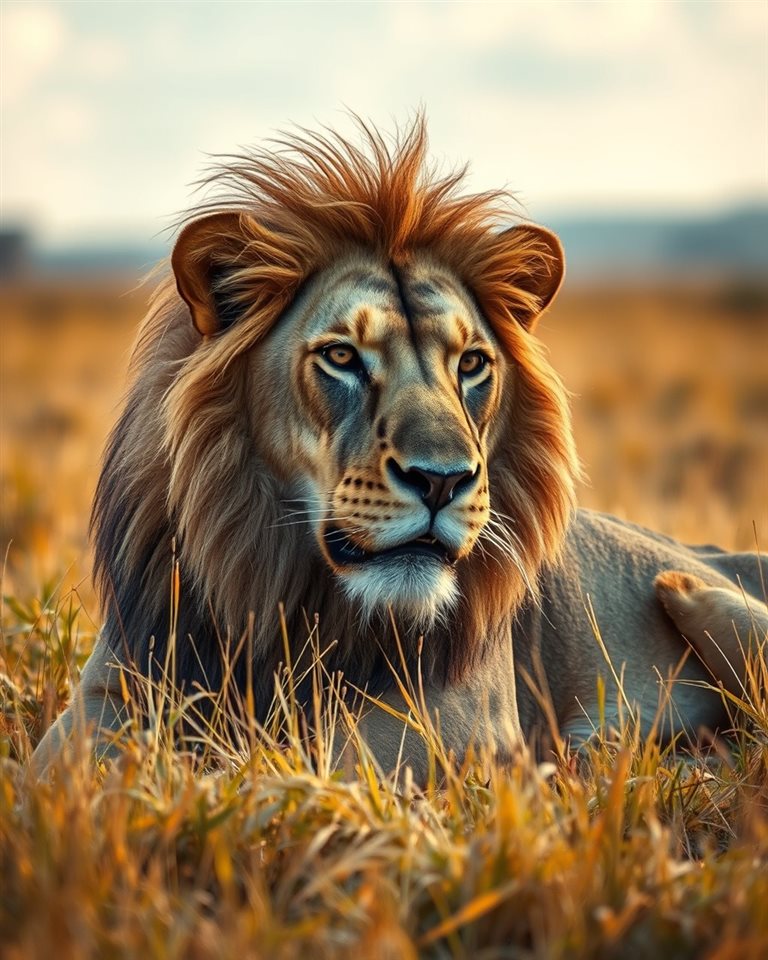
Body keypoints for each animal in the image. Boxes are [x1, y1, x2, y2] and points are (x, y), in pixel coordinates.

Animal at [31, 116, 767, 779]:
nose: (441, 481)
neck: (286, 594)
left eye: (471, 364)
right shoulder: (108, 695)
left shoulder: (450, 722)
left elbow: (308, 772)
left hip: (700, 597)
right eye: (341, 357)